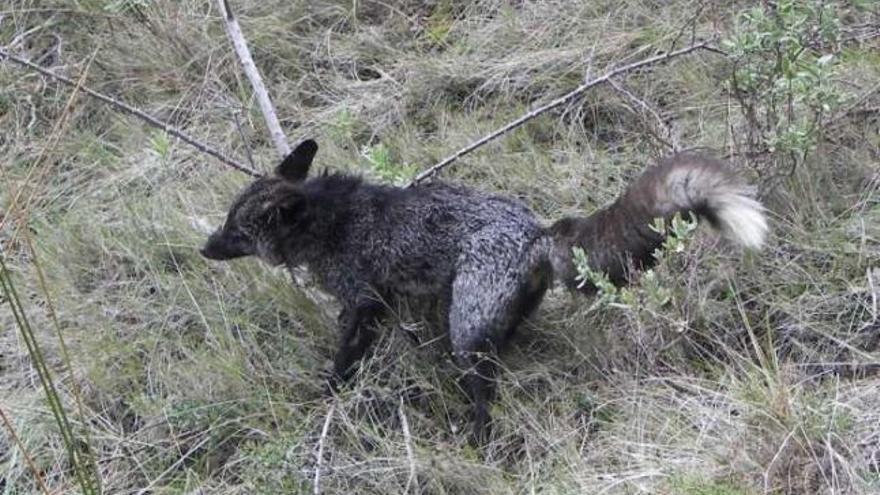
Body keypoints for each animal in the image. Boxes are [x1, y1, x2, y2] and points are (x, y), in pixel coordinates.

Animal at [203, 140, 768, 446]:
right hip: (487, 323)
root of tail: (537, 232)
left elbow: (343, 361)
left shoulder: (365, 303)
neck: (329, 222)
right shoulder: (389, 303)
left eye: (237, 231)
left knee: (484, 396)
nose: (204, 248)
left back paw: (477, 441)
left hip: (466, 332)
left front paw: (327, 397)